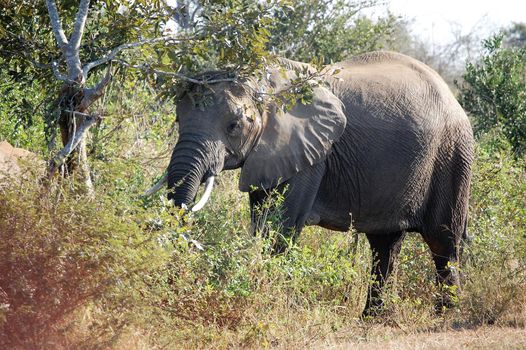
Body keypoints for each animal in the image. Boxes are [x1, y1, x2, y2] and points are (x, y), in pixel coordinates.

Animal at [166, 51, 478, 314]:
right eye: (178, 120)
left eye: (234, 125)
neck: (267, 81)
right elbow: (261, 220)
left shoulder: (311, 154)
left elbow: (281, 227)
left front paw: (266, 304)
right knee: (385, 244)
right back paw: (373, 318)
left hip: (452, 155)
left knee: (443, 241)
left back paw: (444, 316)